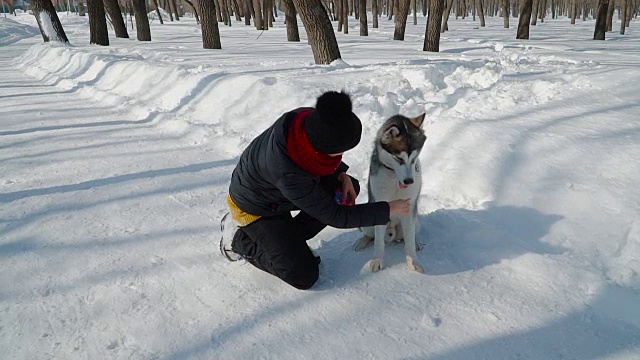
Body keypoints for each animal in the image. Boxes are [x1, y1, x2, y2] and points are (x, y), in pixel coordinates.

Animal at [352, 114, 428, 272]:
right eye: (399, 158)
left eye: (414, 157)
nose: (409, 181)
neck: (394, 177)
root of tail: (392, 234)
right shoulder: (380, 206)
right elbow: (378, 243)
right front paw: (377, 260)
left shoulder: (409, 207)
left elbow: (409, 242)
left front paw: (413, 262)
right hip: (368, 222)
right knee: (371, 236)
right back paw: (361, 242)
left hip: (416, 221)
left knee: (410, 235)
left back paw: (417, 242)